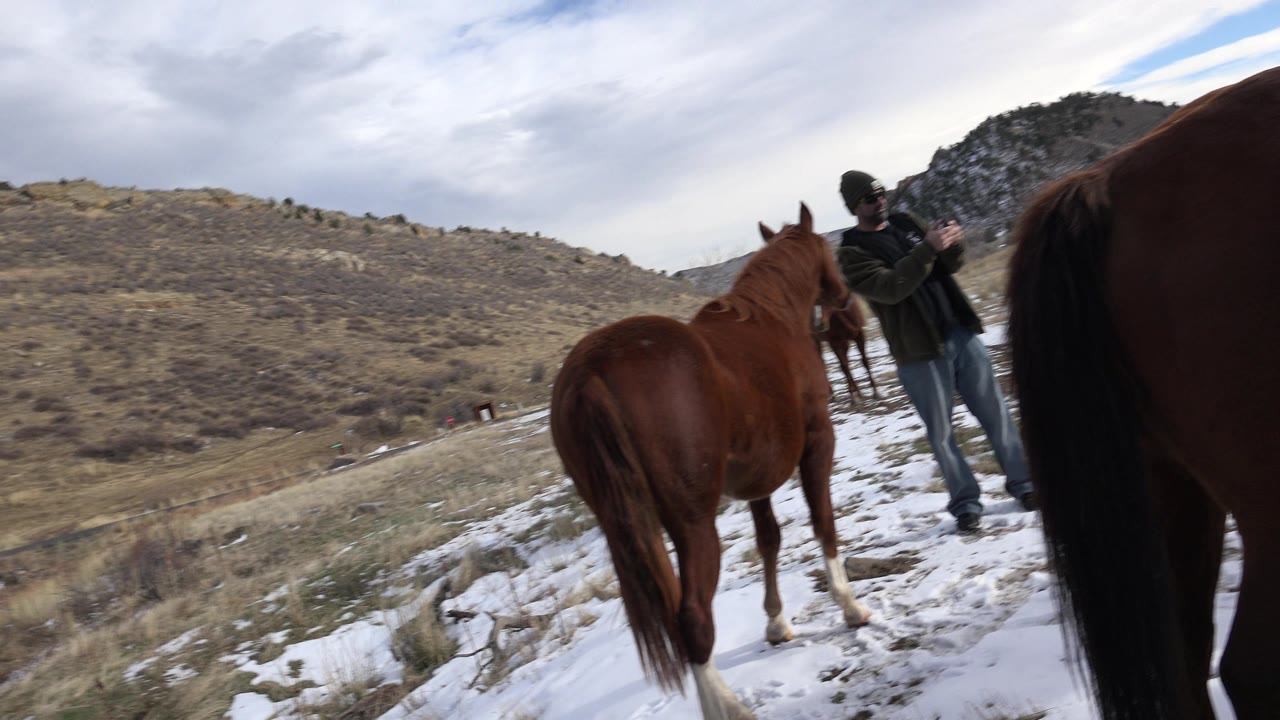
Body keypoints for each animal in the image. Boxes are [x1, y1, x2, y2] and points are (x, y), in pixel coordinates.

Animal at [550, 204, 871, 720]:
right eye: (827, 246)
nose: (843, 294)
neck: (773, 319)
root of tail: (591, 371)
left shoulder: (758, 478)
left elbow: (768, 540)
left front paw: (776, 623)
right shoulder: (818, 444)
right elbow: (824, 524)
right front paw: (850, 607)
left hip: (635, 530)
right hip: (694, 525)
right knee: (694, 617)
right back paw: (728, 706)